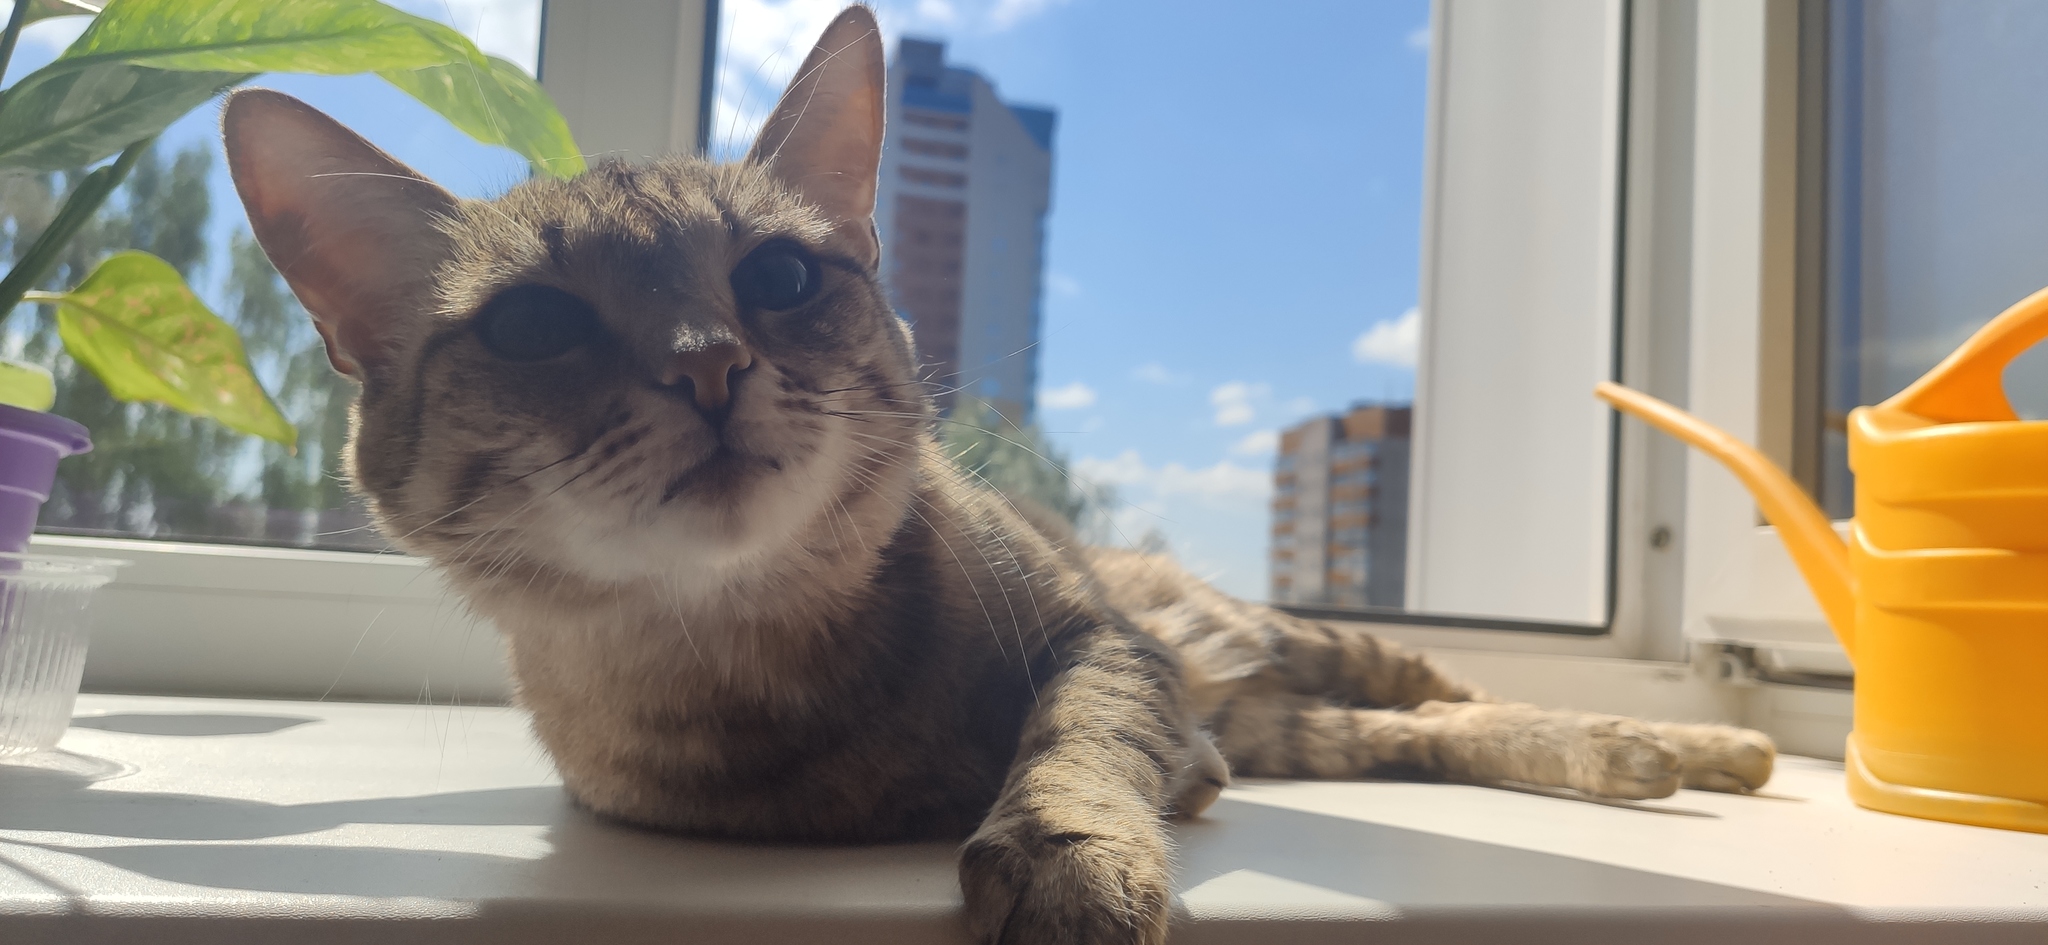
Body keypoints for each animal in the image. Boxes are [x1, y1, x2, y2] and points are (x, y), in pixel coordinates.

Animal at [220, 5, 1777, 934]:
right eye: (534, 324)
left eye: (779, 278)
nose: (708, 362)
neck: (763, 655)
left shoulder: (1110, 643)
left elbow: (1080, 734)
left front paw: (1067, 848)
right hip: (1299, 719)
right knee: (1430, 733)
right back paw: (1651, 754)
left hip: (1289, 638)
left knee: (1460, 690)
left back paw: (1691, 744)